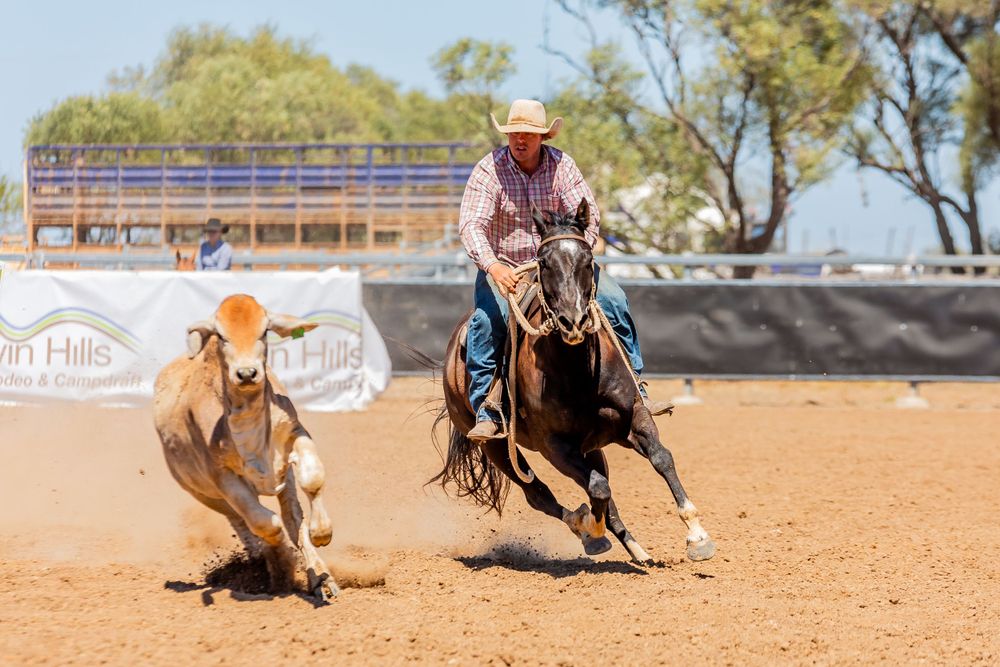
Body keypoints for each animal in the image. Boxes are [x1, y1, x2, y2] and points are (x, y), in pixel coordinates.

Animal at [153, 294, 338, 601]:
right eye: (221, 336)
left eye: (264, 331)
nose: (247, 373)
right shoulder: (222, 477)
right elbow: (265, 523)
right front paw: (279, 558)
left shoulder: (295, 435)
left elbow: (311, 481)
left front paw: (321, 533)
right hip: (204, 494)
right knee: (242, 521)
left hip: (282, 480)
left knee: (292, 517)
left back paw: (320, 578)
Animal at [433, 200, 716, 564]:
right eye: (543, 262)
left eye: (587, 259)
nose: (574, 320)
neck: (578, 372)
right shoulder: (555, 446)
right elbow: (596, 489)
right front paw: (588, 528)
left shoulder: (634, 417)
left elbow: (660, 458)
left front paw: (698, 536)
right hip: (497, 447)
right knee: (541, 495)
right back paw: (586, 530)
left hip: (591, 448)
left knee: (602, 494)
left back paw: (638, 551)